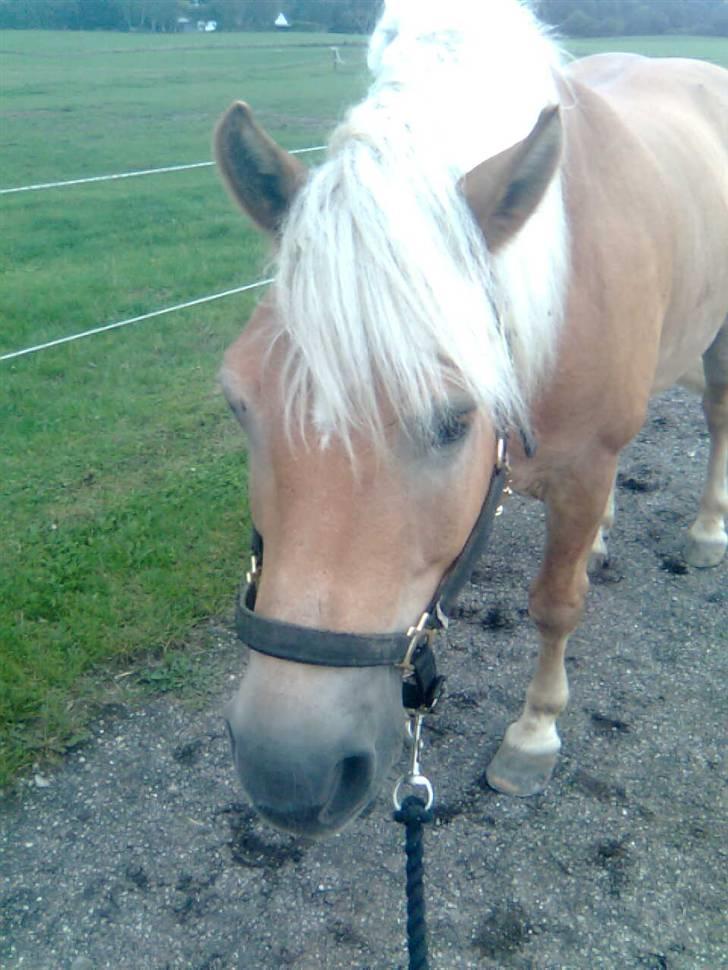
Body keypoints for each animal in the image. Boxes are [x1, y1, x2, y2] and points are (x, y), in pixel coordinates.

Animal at [215, 0, 728, 836]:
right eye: (237, 401)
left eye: (455, 420)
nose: (290, 772)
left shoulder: (585, 466)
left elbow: (555, 606)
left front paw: (534, 733)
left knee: (717, 416)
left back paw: (709, 528)